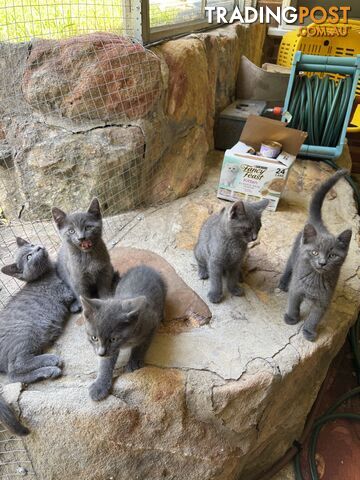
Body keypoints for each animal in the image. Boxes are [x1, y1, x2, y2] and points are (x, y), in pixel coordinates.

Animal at [0, 236, 74, 436]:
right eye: (29, 256)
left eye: (32, 245)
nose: (39, 247)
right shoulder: (65, 290)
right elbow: (75, 292)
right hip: (25, 334)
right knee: (16, 368)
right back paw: (51, 363)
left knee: (14, 377)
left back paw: (47, 371)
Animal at [80, 266, 166, 402]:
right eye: (94, 338)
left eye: (113, 339)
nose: (101, 353)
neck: (127, 341)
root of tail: (144, 266)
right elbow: (106, 363)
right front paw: (100, 385)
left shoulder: (151, 324)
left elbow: (141, 346)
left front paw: (134, 362)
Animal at [278, 169, 352, 342]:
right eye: (315, 252)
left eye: (332, 256)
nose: (322, 263)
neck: (315, 279)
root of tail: (319, 226)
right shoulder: (297, 288)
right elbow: (293, 303)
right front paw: (292, 318)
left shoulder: (324, 300)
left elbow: (314, 317)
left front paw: (309, 331)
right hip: (294, 255)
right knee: (289, 267)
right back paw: (283, 283)